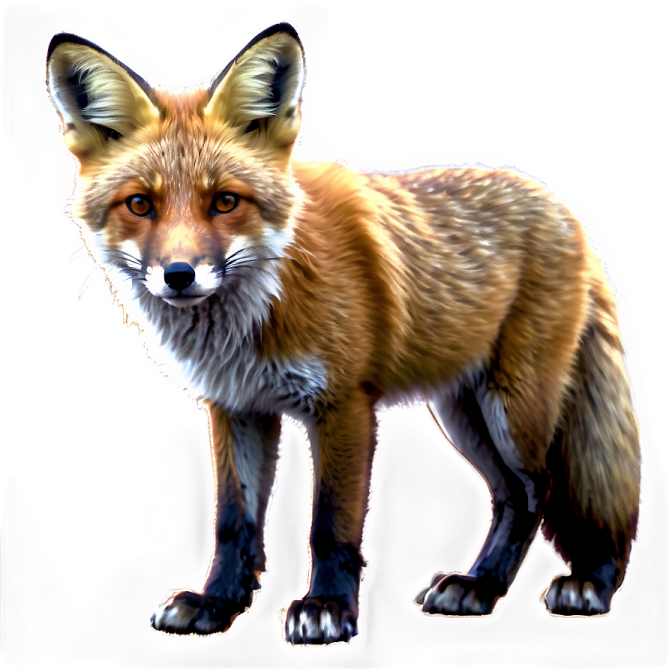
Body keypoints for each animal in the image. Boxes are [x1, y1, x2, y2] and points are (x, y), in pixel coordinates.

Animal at [45, 21, 642, 646]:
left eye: (225, 201)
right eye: (140, 204)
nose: (179, 275)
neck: (254, 317)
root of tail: (567, 211)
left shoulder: (346, 405)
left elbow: (331, 522)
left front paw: (328, 607)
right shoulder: (238, 407)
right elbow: (235, 522)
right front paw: (217, 604)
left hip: (512, 408)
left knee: (540, 488)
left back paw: (565, 583)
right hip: (466, 413)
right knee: (508, 495)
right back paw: (480, 585)